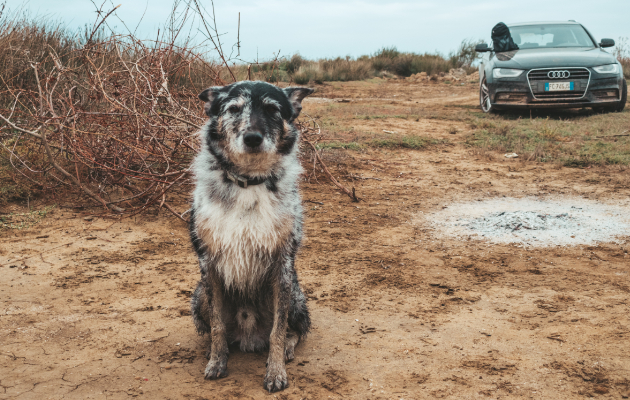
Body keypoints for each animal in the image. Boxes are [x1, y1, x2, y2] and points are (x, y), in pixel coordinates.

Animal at [189, 79, 314, 392]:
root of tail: (247, 338)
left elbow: (278, 331)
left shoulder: (282, 266)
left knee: (296, 330)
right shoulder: (209, 265)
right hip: (198, 296)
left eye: (272, 109)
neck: (249, 181)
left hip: (294, 296)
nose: (253, 138)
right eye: (234, 109)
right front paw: (216, 362)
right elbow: (218, 325)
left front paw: (276, 371)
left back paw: (287, 350)